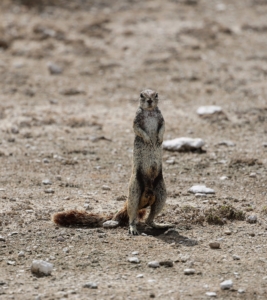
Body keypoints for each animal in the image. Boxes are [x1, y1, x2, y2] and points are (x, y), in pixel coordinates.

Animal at [52, 89, 174, 234]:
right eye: (141, 95)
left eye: (156, 95)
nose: (149, 100)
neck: (149, 111)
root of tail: (147, 196)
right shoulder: (136, 119)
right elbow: (137, 128)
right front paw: (148, 139)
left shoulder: (161, 118)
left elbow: (163, 127)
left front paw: (159, 139)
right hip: (134, 190)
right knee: (132, 215)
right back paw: (132, 228)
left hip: (162, 192)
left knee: (150, 218)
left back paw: (161, 225)